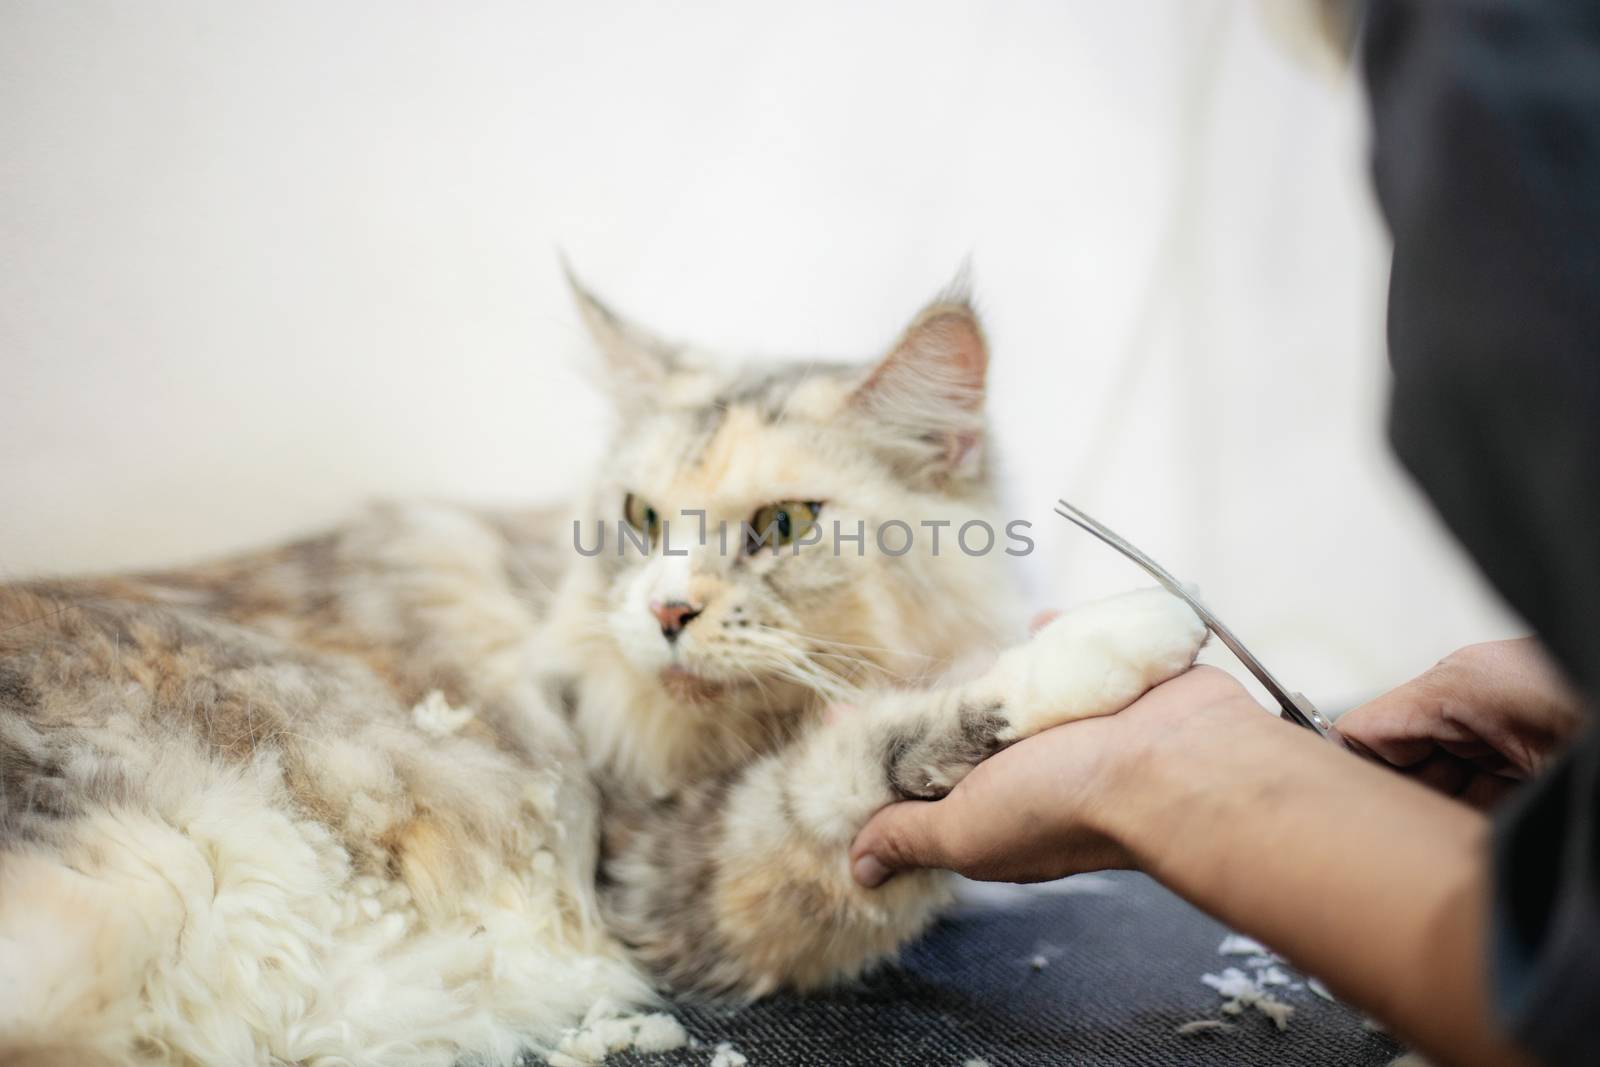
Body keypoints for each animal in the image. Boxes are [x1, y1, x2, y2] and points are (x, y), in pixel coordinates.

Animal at [0, 278, 1203, 1067]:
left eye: (781, 524)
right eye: (639, 516)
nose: (666, 610)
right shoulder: (678, 872)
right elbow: (881, 744)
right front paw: (1133, 630)